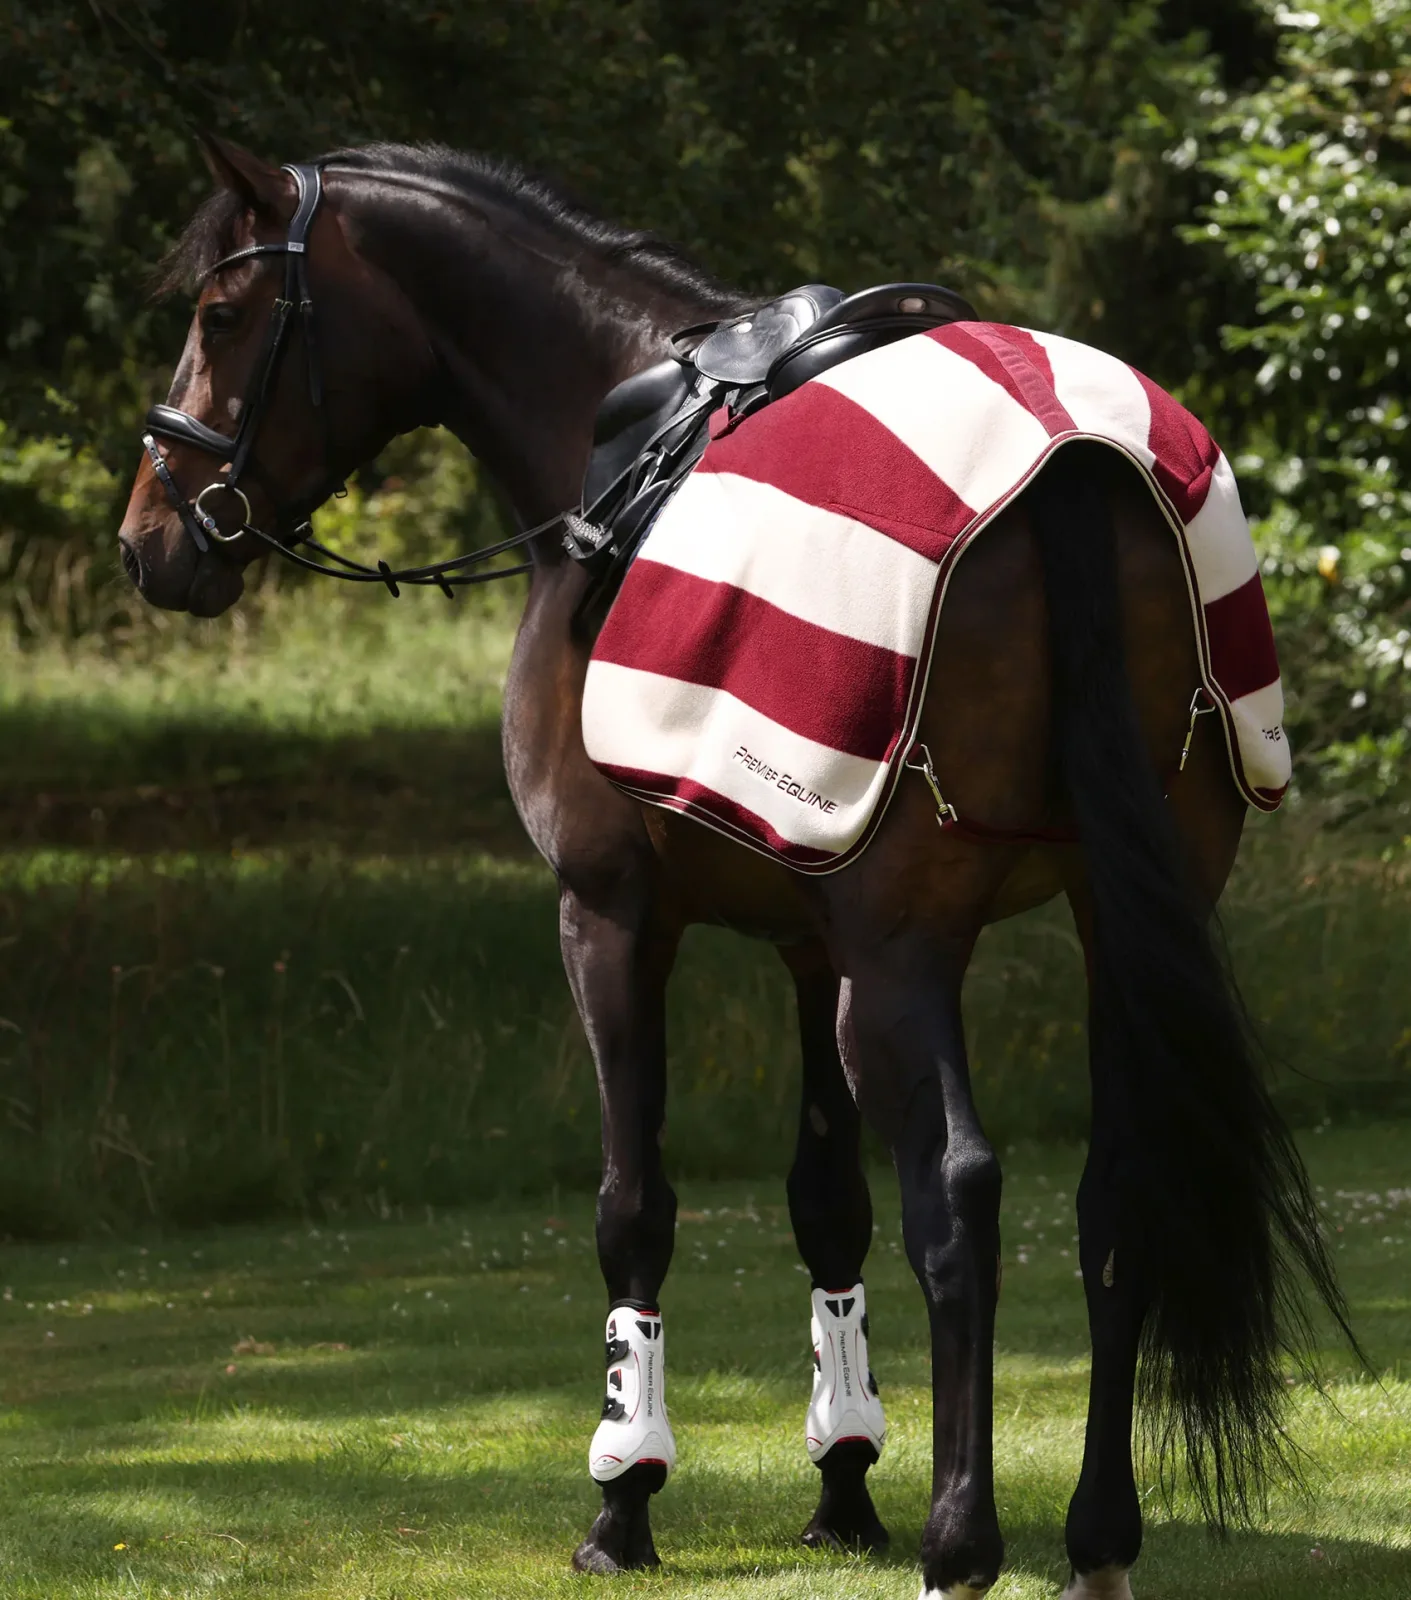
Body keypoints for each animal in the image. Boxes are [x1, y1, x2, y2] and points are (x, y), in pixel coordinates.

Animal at [118, 138, 1350, 1600]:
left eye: (221, 316)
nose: (149, 536)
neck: (612, 432)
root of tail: (1076, 464)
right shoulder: (807, 941)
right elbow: (826, 1205)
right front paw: (842, 1482)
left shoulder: (611, 918)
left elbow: (634, 1208)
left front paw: (624, 1495)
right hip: (1116, 919)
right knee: (1116, 1195)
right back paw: (1094, 1538)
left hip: (905, 958)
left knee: (959, 1196)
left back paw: (960, 1539)